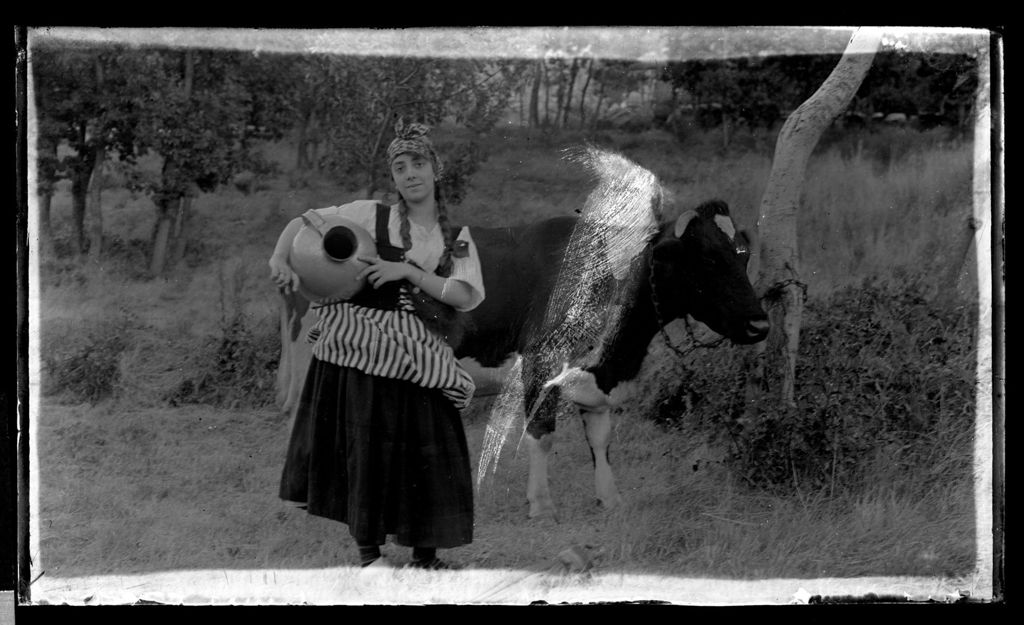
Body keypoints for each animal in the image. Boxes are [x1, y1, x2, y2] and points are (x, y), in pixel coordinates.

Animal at [272, 198, 770, 516]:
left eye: (743, 256)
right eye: (706, 259)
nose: (760, 326)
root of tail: (309, 219)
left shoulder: (596, 375)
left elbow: (601, 439)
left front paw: (610, 499)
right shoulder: (540, 361)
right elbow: (542, 434)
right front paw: (541, 504)